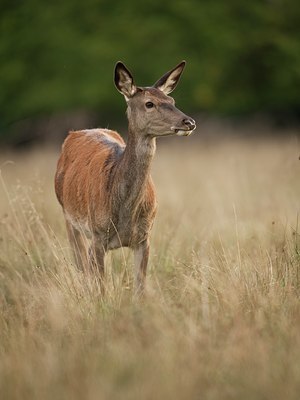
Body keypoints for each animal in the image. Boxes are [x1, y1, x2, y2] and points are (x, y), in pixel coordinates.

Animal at [54, 61, 196, 296]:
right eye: (149, 103)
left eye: (172, 101)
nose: (189, 122)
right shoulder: (98, 235)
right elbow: (101, 287)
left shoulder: (144, 237)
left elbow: (139, 288)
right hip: (68, 216)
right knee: (82, 267)